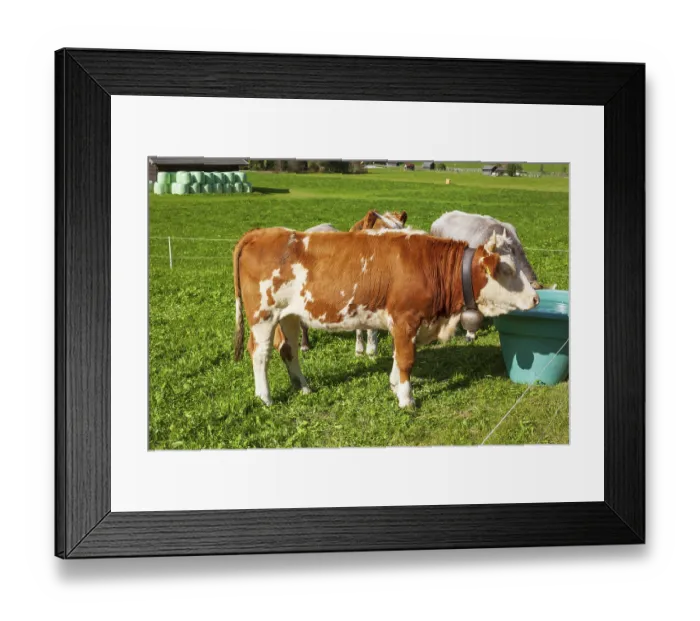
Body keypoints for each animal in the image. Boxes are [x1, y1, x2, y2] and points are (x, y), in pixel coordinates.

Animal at [233, 227, 539, 408]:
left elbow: (397, 356)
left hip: (290, 315)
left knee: (288, 350)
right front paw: (406, 399)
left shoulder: (402, 324)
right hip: (263, 315)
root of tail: (262, 232)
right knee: (260, 353)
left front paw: (394, 385)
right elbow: (406, 359)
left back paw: (303, 387)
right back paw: (265, 397)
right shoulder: (406, 319)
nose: (536, 298)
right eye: (508, 269)